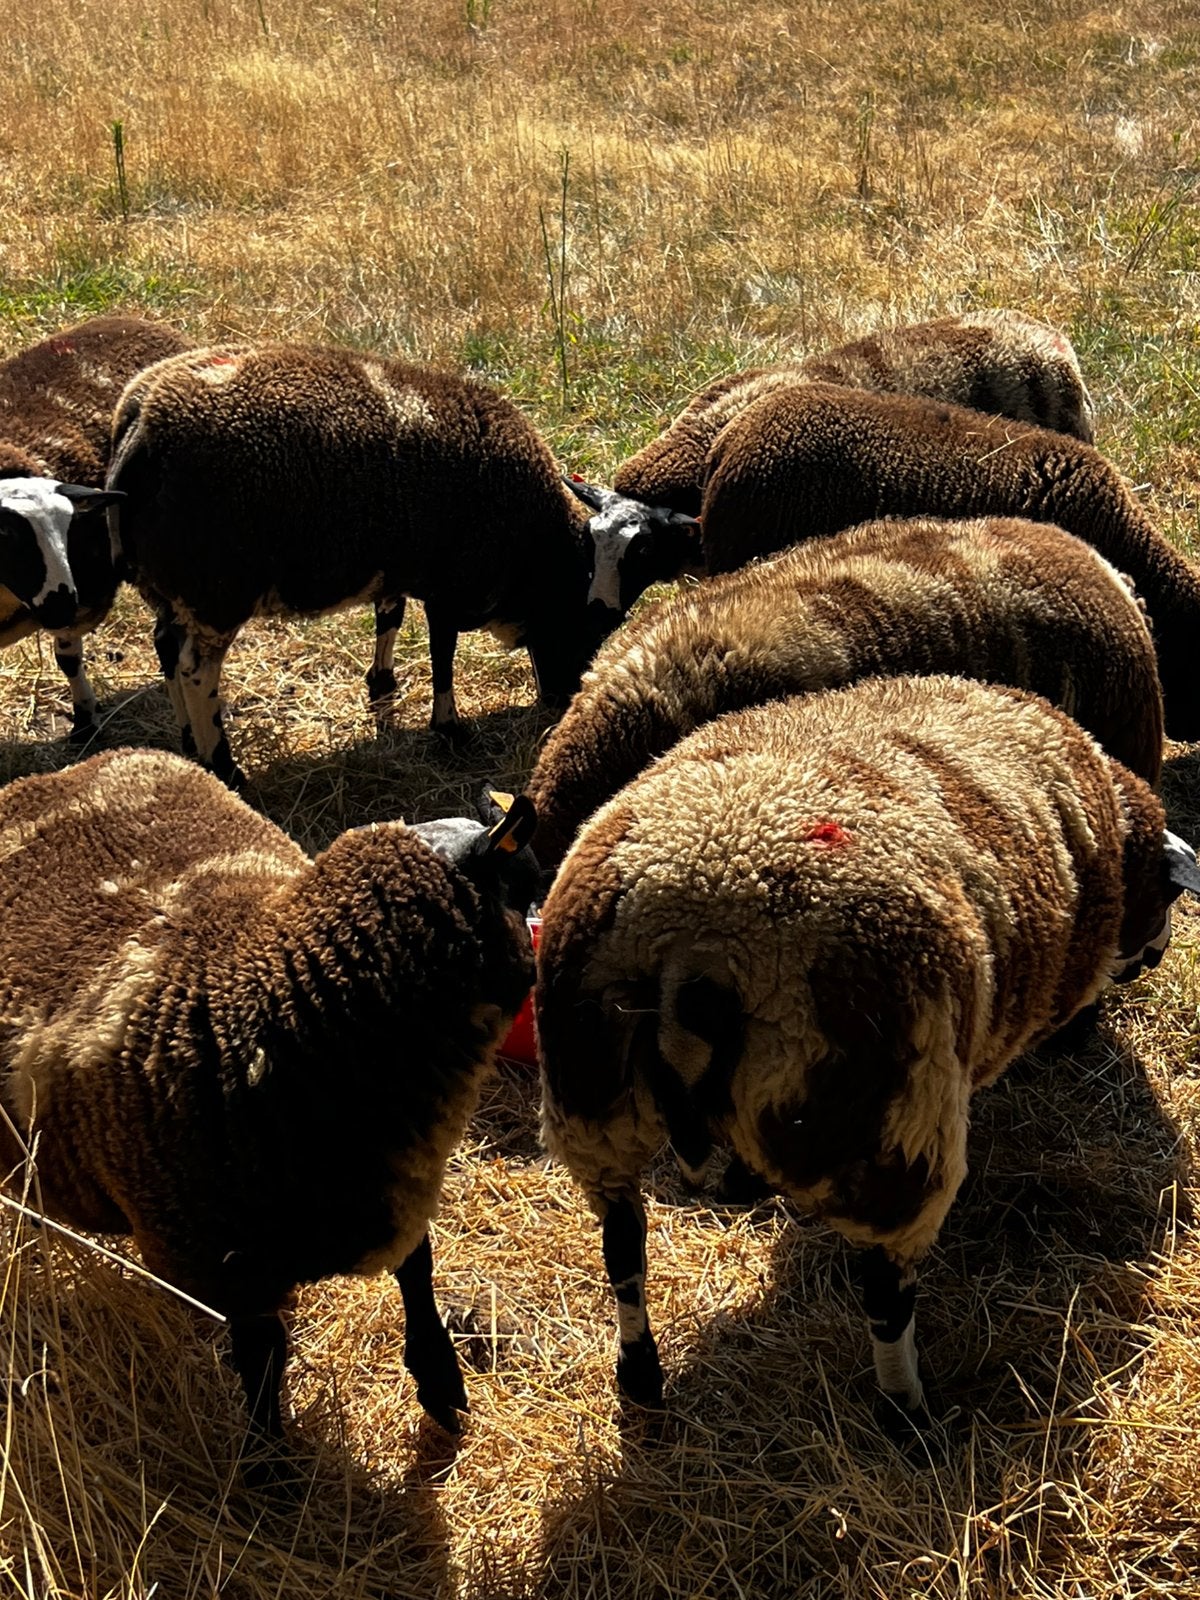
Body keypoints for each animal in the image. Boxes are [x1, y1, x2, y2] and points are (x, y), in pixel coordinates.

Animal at [0, 314, 190, 736]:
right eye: (5, 533)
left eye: (69, 525)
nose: (63, 604)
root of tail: (132, 319)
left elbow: (68, 654)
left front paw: (86, 719)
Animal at [0, 747, 539, 1476]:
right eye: (524, 883)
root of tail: (53, 776)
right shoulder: (227, 1265)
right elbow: (263, 1361)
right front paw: (267, 1469)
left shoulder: (397, 1177)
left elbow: (417, 1273)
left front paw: (440, 1383)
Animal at [105, 342, 668, 785]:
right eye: (594, 620)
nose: (562, 698)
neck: (534, 548)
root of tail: (141, 426)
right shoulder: (450, 584)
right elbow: (443, 655)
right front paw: (450, 729)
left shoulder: (397, 568)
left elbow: (389, 617)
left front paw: (382, 688)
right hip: (216, 588)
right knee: (194, 670)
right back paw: (225, 768)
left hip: (171, 586)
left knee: (165, 646)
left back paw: (189, 747)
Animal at [536, 674, 1200, 1428]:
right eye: (1165, 899)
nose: (1157, 957)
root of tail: (689, 940)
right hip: (892, 1127)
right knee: (885, 1294)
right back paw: (907, 1410)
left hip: (592, 1108)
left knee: (623, 1247)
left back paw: (641, 1377)